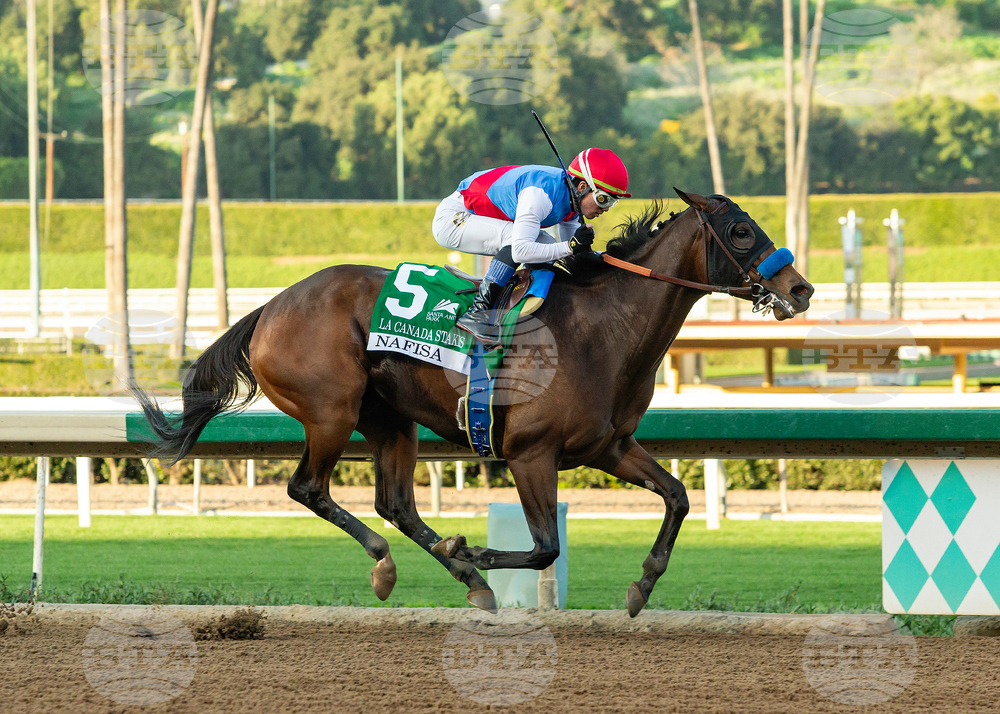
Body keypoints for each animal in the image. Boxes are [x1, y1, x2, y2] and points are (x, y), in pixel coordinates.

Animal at [132, 189, 814, 617]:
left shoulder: (609, 446)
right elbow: (545, 546)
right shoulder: (530, 454)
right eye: (742, 231)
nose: (801, 287)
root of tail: (270, 307)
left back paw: (463, 579)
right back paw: (399, 565)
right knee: (310, 488)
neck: (603, 329)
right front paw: (475, 550)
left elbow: (677, 496)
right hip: (332, 411)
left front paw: (641, 586)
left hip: (390, 419)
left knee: (395, 503)